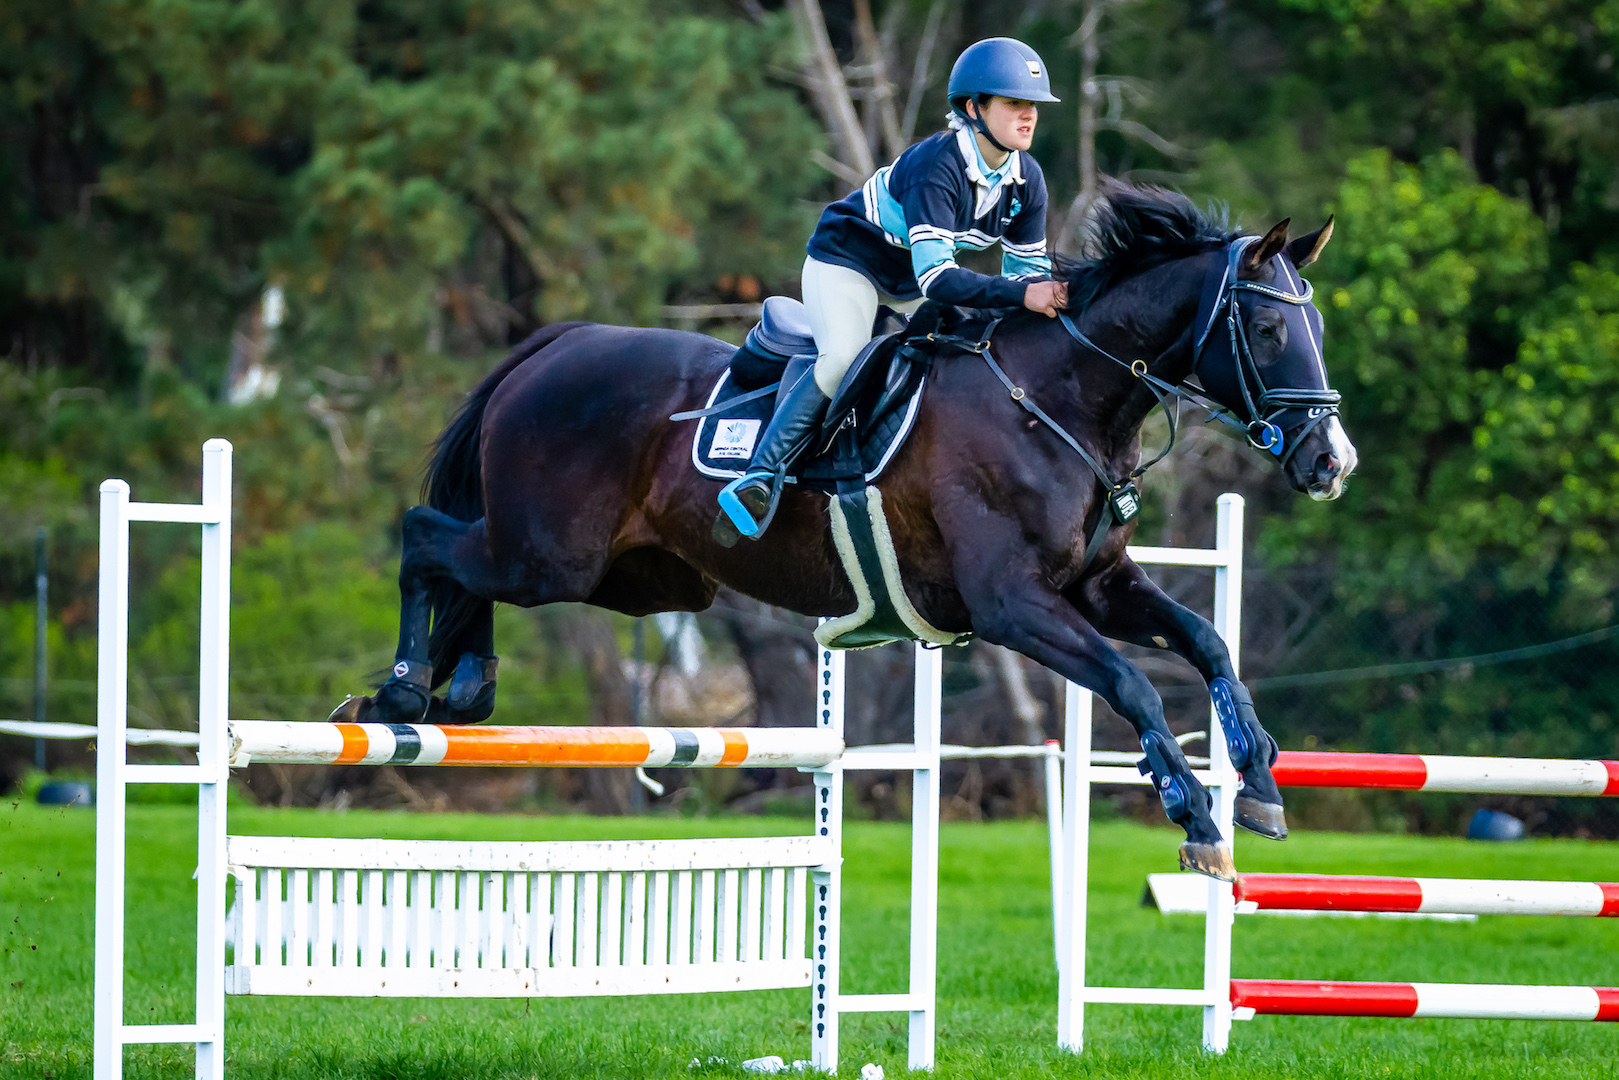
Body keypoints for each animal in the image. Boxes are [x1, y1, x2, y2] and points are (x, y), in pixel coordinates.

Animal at [338, 186, 1353, 880]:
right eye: (1267, 329)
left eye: (1313, 323)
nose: (1329, 460)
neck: (1057, 399)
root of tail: (560, 341)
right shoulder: (1014, 607)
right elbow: (1134, 683)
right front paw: (1196, 820)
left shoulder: (1095, 587)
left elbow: (1206, 642)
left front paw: (1259, 788)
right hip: (549, 554)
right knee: (427, 537)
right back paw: (404, 691)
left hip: (634, 579)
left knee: (464, 568)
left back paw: (457, 687)